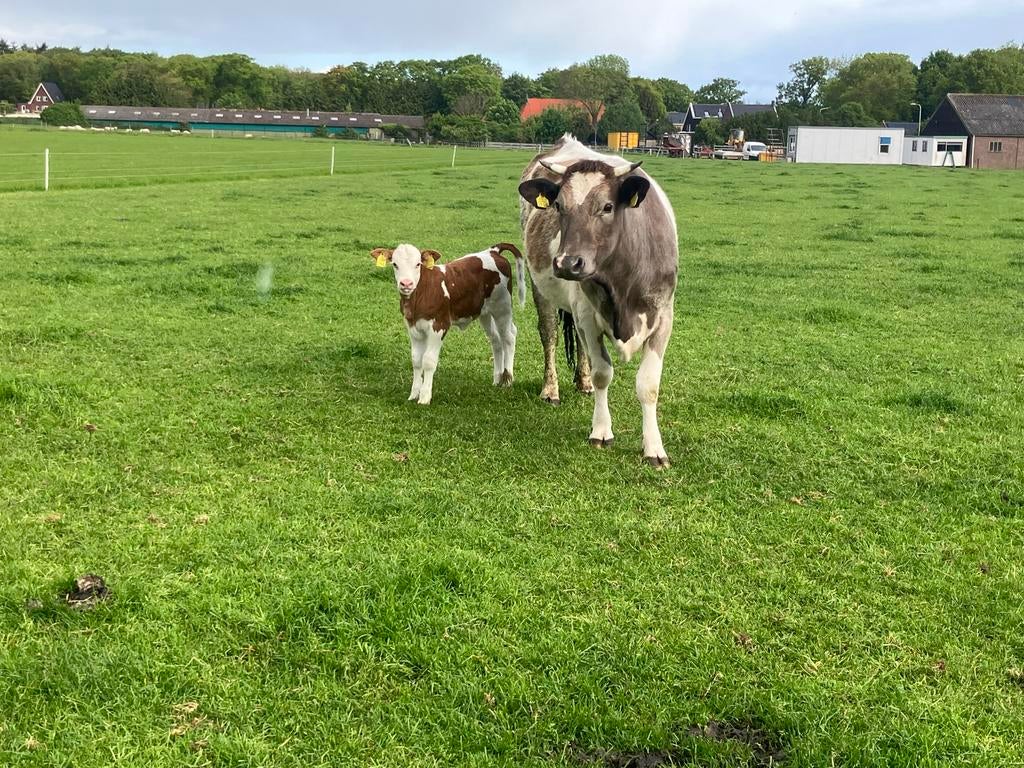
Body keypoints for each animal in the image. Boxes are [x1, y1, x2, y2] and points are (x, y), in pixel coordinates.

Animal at [371, 242, 525, 405]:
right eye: (395, 264)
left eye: (418, 264)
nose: (406, 283)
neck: (420, 295)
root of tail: (493, 251)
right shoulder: (413, 328)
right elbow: (416, 360)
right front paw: (413, 394)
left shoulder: (439, 325)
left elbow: (428, 361)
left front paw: (424, 397)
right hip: (485, 312)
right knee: (495, 339)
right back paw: (497, 379)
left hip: (502, 306)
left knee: (509, 336)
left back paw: (507, 380)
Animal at [518, 134, 679, 467]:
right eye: (558, 205)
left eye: (607, 206)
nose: (568, 263)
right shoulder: (588, 317)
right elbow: (603, 372)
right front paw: (601, 431)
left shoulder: (663, 319)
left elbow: (649, 385)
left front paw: (654, 448)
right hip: (541, 286)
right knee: (550, 334)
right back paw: (551, 389)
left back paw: (583, 383)